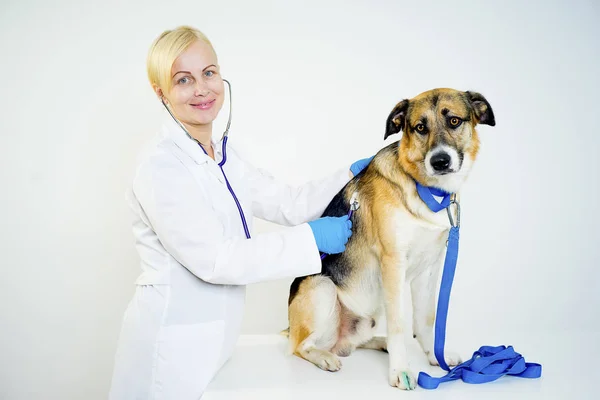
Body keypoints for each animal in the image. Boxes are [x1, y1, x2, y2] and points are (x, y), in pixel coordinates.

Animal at [286, 88, 496, 390]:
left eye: (454, 121)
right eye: (420, 127)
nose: (440, 161)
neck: (426, 192)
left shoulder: (430, 268)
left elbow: (426, 319)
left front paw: (435, 356)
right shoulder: (393, 264)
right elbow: (399, 324)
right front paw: (401, 370)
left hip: (368, 318)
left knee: (354, 342)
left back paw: (378, 343)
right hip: (321, 287)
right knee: (301, 346)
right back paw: (324, 357)